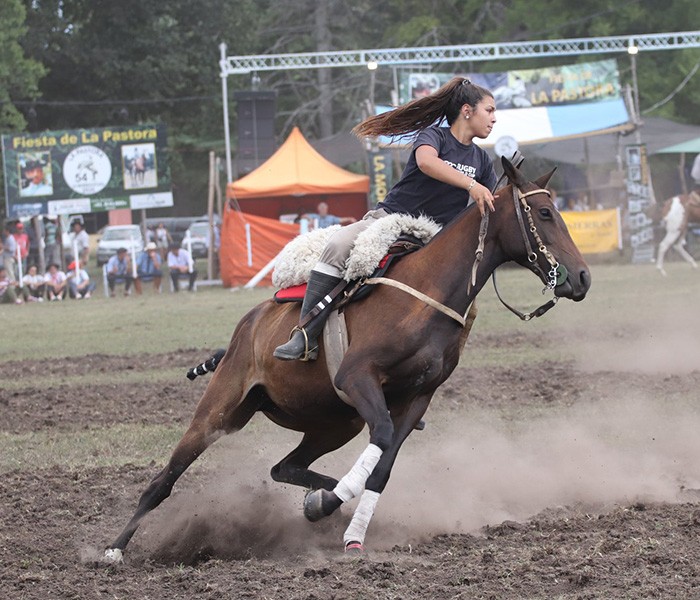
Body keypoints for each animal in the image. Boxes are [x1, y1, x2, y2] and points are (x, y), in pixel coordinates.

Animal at [102, 158, 592, 564]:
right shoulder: (358, 377)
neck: (427, 294)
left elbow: (384, 462)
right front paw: (332, 506)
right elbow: (383, 439)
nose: (583, 277)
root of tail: (250, 322)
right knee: (165, 479)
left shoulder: (418, 396)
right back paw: (113, 549)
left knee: (284, 467)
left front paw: (348, 527)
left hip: (334, 422)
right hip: (220, 410)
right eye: (544, 213)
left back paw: (324, 499)